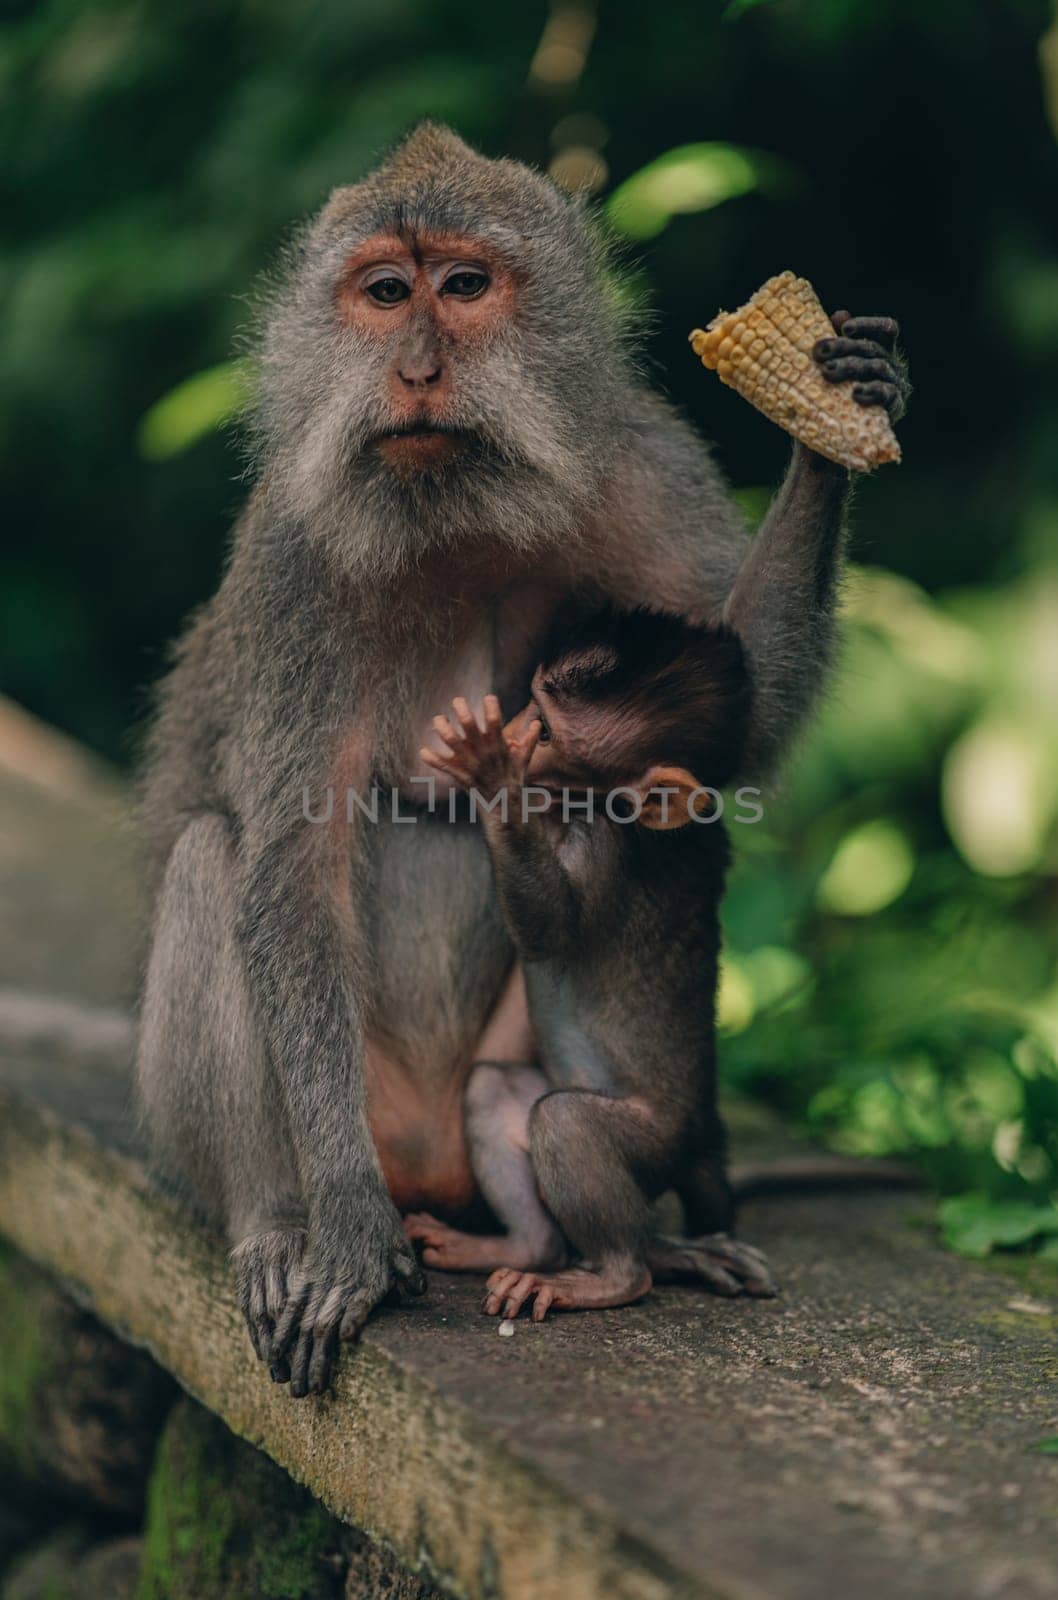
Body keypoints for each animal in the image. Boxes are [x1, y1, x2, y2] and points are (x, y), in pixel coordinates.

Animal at [409, 604, 774, 1318]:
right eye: (529, 700)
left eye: (546, 730)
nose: (511, 727)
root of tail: (701, 1139)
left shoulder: (609, 850)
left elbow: (552, 930)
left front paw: (493, 776)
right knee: (497, 1090)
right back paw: (519, 1249)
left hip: (654, 1144)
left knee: (568, 1122)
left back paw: (615, 1276)